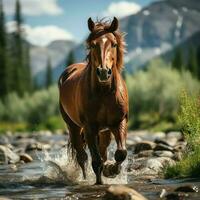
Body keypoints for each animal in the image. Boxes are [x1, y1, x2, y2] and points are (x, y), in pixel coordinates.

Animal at [58, 17, 129, 184]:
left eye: (114, 44)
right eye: (92, 44)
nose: (103, 72)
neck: (104, 93)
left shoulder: (119, 122)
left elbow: (121, 153)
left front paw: (111, 171)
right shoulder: (89, 127)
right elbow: (95, 160)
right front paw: (99, 182)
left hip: (104, 131)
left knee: (102, 152)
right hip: (74, 127)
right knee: (82, 156)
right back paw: (84, 178)